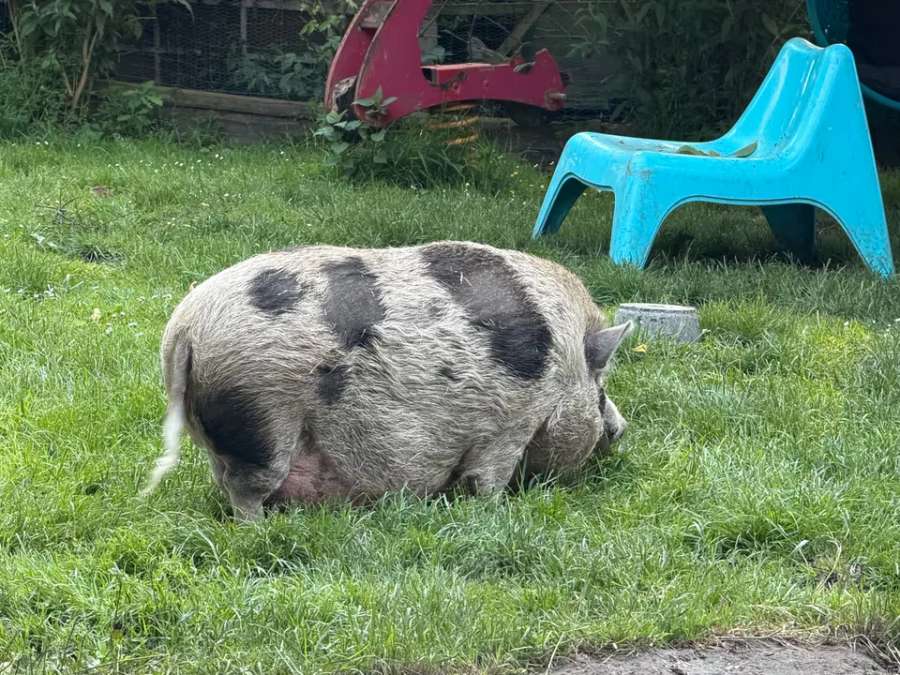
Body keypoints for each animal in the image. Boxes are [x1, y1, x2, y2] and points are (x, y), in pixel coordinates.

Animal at [141, 241, 632, 520]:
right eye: (601, 391)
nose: (621, 430)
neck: (564, 363)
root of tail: (185, 330)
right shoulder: (511, 422)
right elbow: (487, 478)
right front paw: (495, 510)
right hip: (262, 413)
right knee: (245, 486)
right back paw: (259, 530)